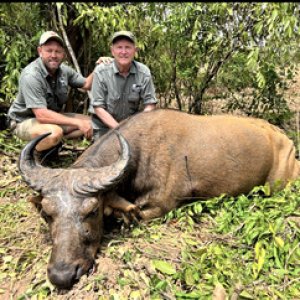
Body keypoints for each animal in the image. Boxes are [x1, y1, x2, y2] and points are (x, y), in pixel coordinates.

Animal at [19, 108, 300, 288]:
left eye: (92, 211)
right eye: (47, 214)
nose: (62, 275)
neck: (141, 151)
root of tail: (282, 139)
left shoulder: (161, 207)